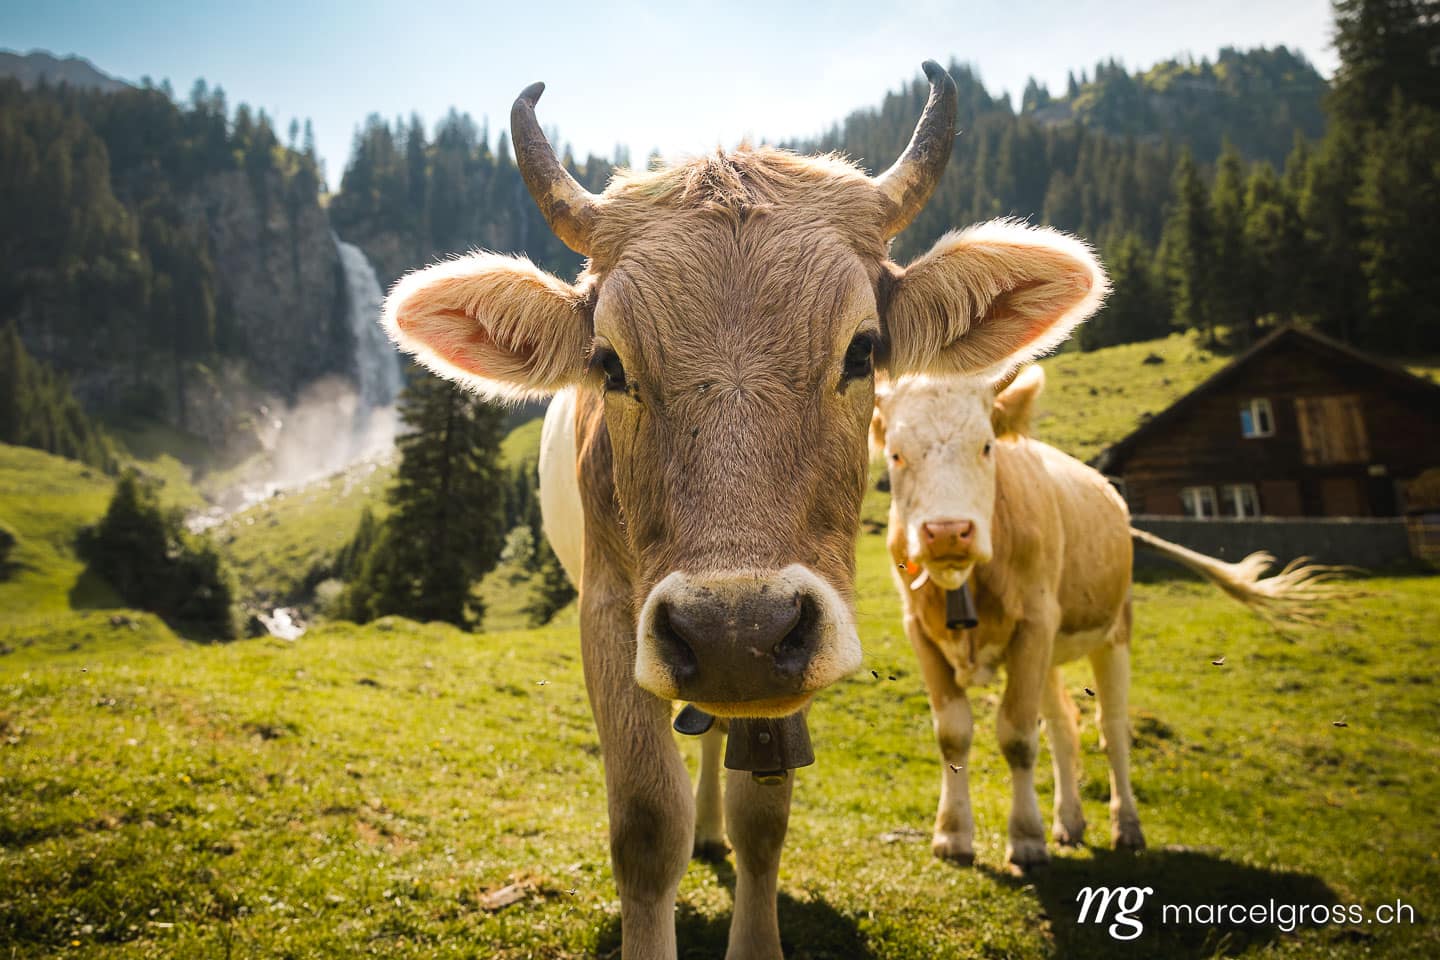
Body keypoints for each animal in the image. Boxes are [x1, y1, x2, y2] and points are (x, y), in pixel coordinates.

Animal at [380, 64, 1110, 959]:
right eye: (608, 363)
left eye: (863, 349)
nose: (732, 631)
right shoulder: (610, 610)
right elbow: (645, 822)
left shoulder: (803, 635)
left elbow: (764, 816)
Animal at [872, 365, 1343, 868]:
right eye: (896, 455)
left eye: (986, 446)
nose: (947, 533)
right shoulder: (923, 632)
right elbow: (954, 735)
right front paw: (954, 835)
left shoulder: (1034, 625)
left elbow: (1017, 737)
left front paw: (1026, 839)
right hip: (1050, 651)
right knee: (1062, 726)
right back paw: (1069, 823)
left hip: (1113, 634)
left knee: (1112, 730)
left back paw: (1127, 827)